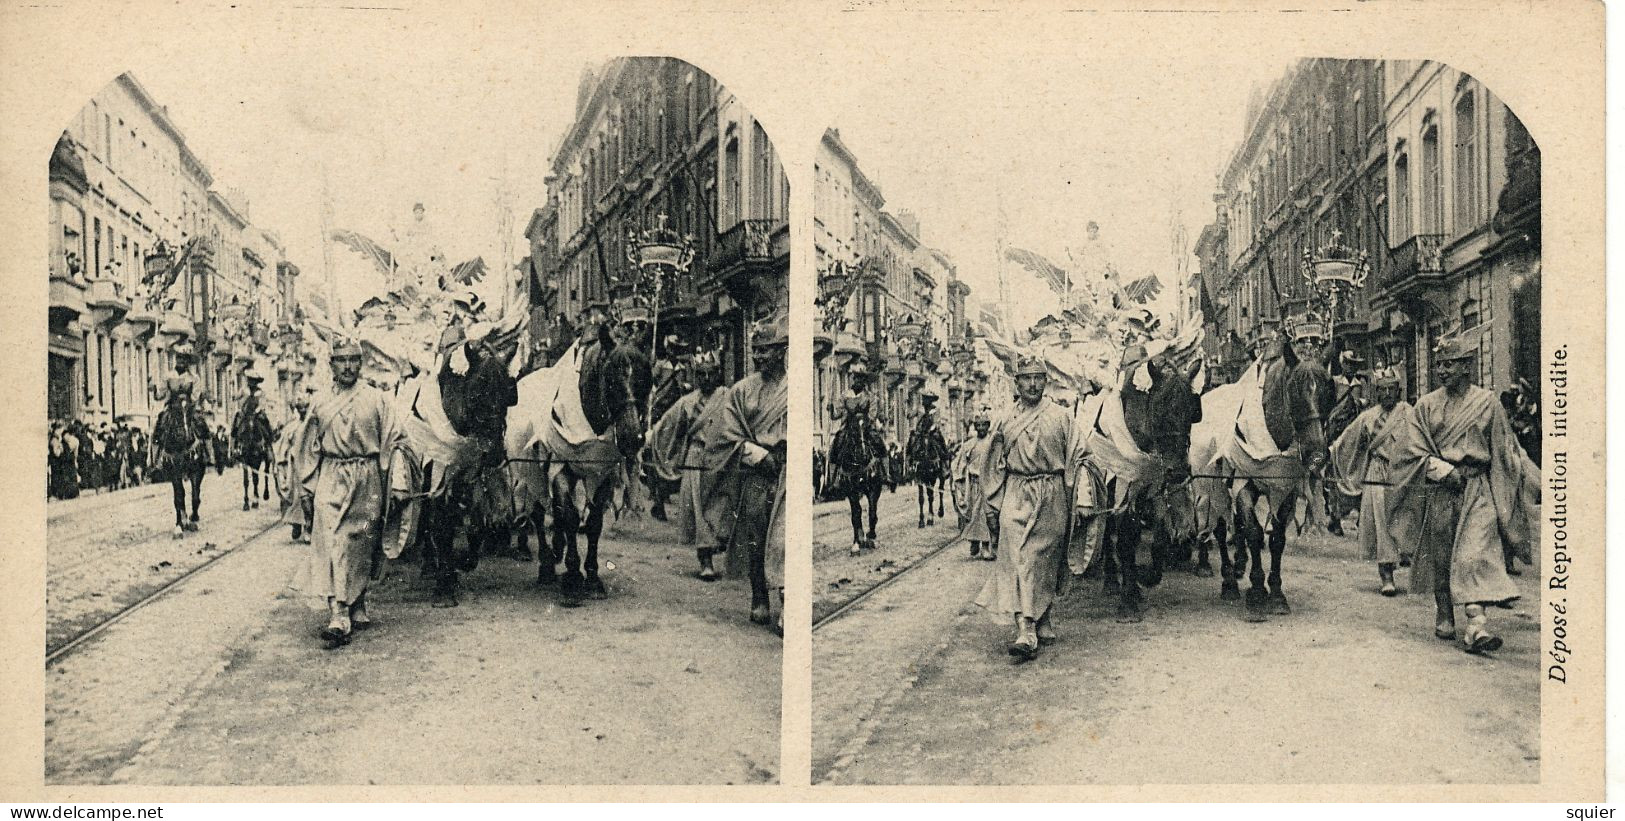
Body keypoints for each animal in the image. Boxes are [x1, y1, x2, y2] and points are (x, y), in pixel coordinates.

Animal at [151, 391, 211, 533]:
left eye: (190, 411)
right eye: (175, 411)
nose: (187, 436)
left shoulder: (196, 470)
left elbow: (195, 494)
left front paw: (193, 518)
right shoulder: (174, 473)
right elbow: (179, 497)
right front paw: (180, 524)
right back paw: (182, 521)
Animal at [825, 401, 890, 552]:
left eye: (867, 427)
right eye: (853, 428)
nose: (863, 453)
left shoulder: (874, 488)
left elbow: (872, 511)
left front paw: (871, 536)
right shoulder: (851, 491)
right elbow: (856, 514)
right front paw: (857, 541)